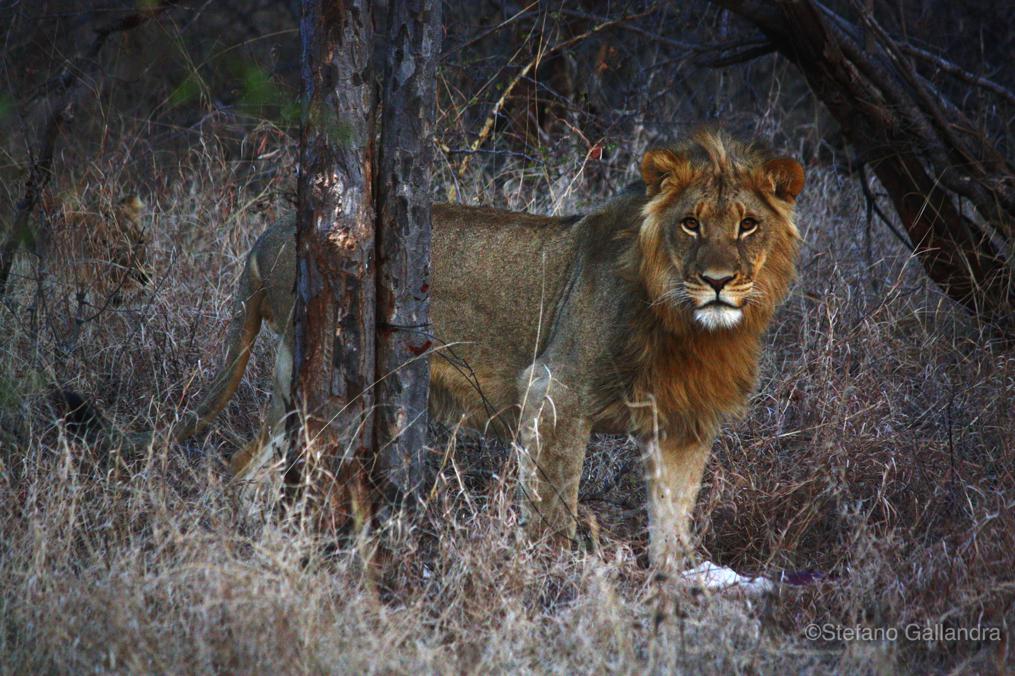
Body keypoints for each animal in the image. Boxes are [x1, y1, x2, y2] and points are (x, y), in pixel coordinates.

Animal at [155, 130, 804, 574]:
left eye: (747, 225)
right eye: (690, 224)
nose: (718, 282)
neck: (689, 328)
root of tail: (269, 236)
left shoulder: (682, 423)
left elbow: (674, 521)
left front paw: (674, 587)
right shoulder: (556, 390)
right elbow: (553, 508)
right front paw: (550, 579)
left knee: (247, 467)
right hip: (321, 376)